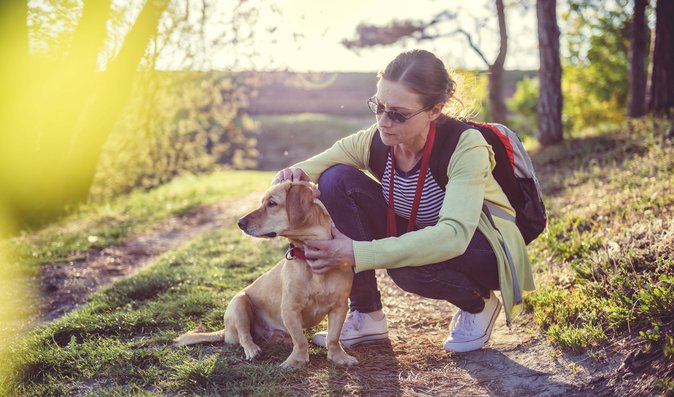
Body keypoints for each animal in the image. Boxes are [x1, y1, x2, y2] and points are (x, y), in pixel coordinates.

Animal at [173, 181, 356, 366]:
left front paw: (339, 356)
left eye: (272, 203)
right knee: (244, 336)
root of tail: (225, 331)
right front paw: (295, 360)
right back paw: (252, 349)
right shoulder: (289, 309)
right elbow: (300, 340)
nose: (240, 222)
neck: (308, 256)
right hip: (239, 303)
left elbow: (333, 337)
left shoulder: (340, 306)